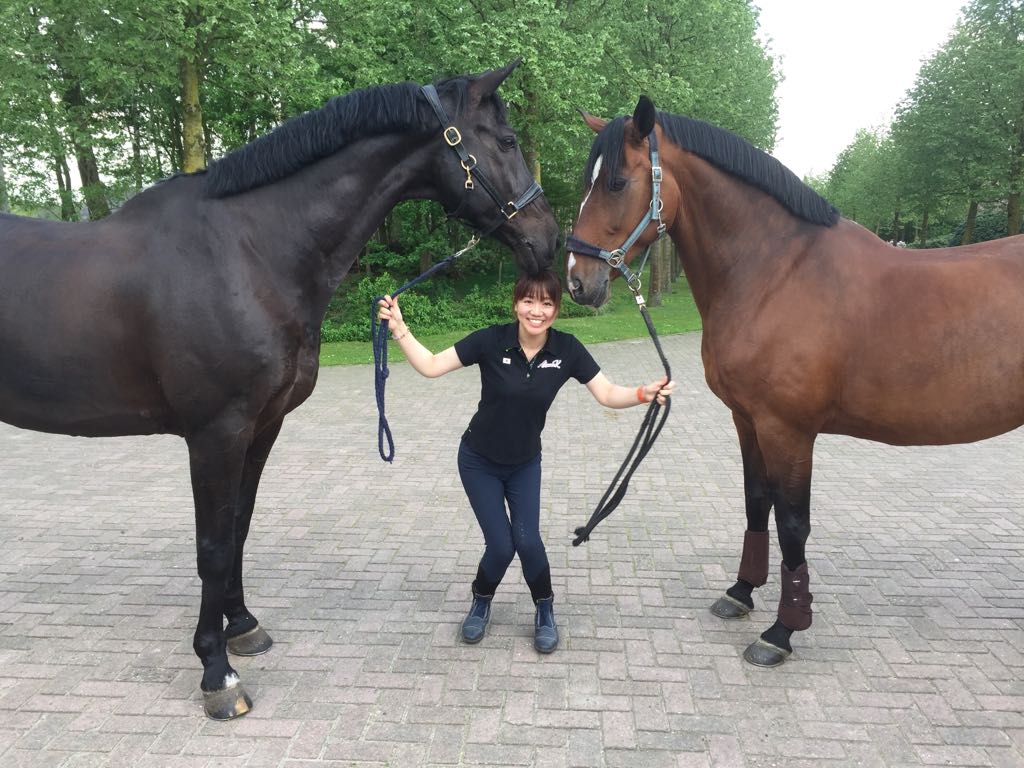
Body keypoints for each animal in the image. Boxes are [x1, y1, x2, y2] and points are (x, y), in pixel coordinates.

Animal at [0, 61, 561, 720]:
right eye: (506, 141)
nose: (550, 240)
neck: (248, 252)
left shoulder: (263, 424)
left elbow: (239, 526)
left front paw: (242, 626)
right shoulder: (215, 432)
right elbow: (214, 544)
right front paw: (217, 674)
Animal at [565, 96, 1024, 671]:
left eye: (617, 183)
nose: (577, 281)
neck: (778, 272)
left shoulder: (788, 429)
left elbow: (792, 523)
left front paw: (782, 630)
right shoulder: (747, 419)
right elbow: (756, 502)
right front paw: (741, 592)